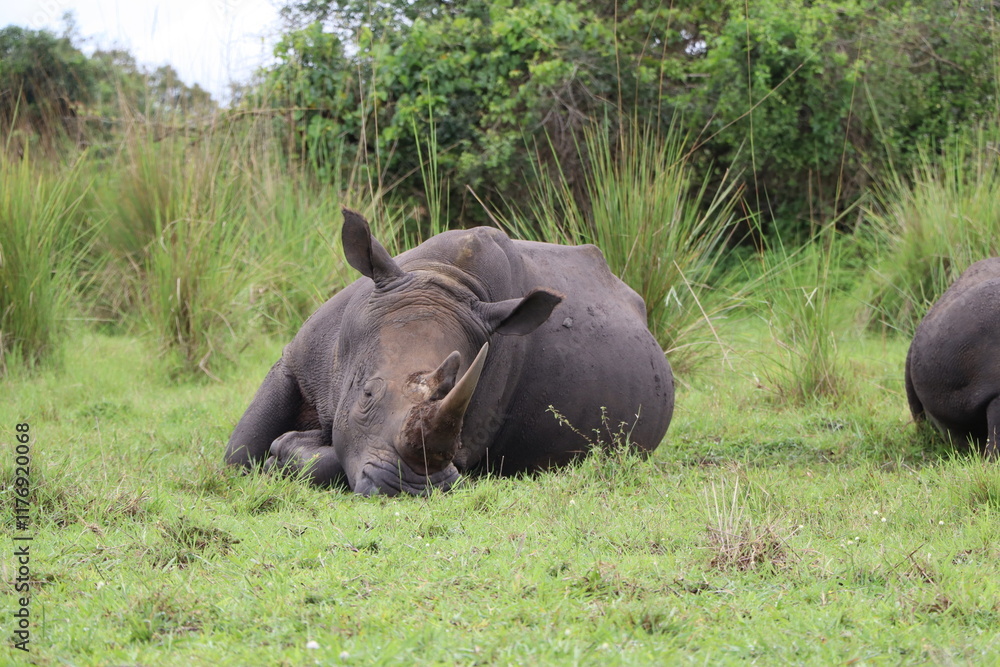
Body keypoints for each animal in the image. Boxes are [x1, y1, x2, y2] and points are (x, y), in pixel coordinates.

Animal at [225, 209, 674, 494]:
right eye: (366, 393)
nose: (413, 489)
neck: (442, 277)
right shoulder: (295, 359)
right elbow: (239, 449)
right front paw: (275, 453)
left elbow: (331, 453)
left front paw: (287, 450)